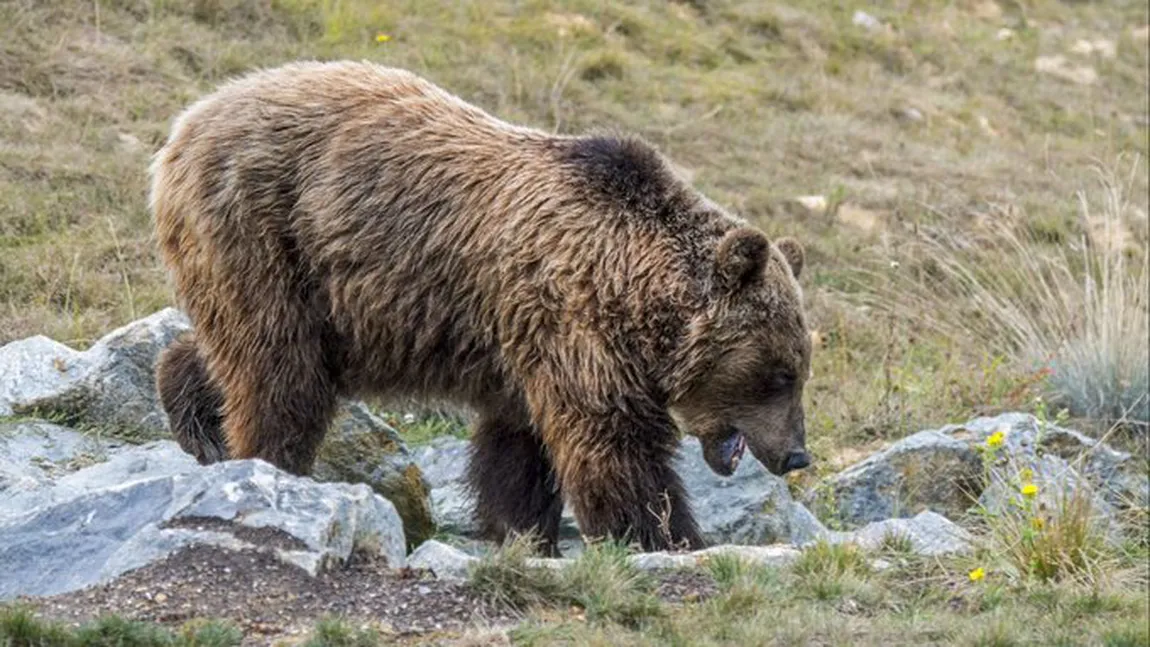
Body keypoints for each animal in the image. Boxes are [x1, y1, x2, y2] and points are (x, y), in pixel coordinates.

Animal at [152, 62, 814, 556]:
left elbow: (519, 448)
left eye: (799, 370)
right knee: (280, 369)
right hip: (264, 229)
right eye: (780, 374)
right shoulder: (571, 322)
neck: (633, 290)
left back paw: (196, 417)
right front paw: (668, 535)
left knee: (237, 349)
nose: (797, 454)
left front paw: (526, 533)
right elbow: (614, 443)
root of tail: (188, 120)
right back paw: (266, 462)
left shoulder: (523, 342)